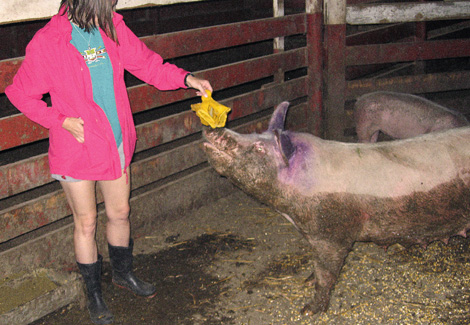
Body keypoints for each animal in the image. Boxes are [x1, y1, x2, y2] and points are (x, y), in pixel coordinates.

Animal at [204, 101, 470, 314]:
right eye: (255, 133)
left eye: (260, 148)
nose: (212, 129)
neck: (291, 210)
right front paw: (306, 280)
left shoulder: (332, 234)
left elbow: (326, 274)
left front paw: (309, 310)